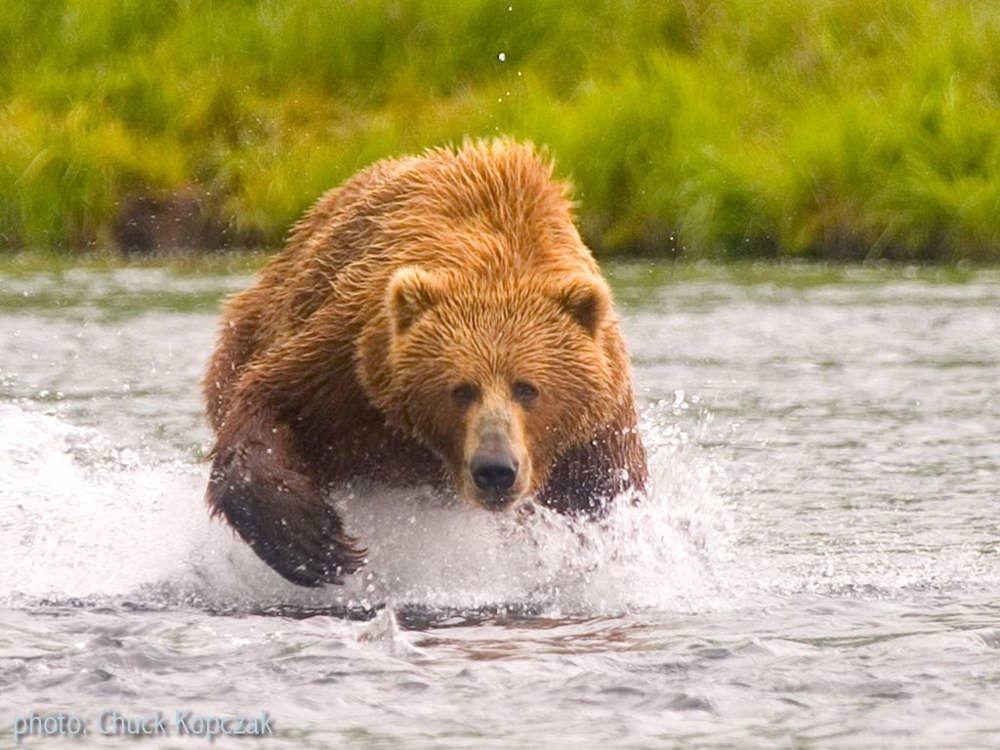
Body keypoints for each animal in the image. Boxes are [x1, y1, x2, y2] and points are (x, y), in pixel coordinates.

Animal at [205, 140, 648, 588]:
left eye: (527, 388)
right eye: (461, 389)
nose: (494, 469)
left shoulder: (594, 430)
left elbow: (601, 501)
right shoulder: (352, 358)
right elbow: (273, 399)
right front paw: (313, 540)